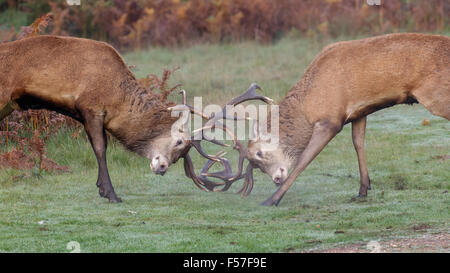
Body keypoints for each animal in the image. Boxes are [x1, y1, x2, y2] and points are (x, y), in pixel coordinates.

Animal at [201, 33, 450, 205]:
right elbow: (358, 143)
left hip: (436, 96)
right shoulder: (358, 112)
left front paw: (272, 199)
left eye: (259, 154)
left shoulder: (330, 120)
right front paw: (363, 189)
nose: (277, 179)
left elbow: (303, 160)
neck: (309, 106)